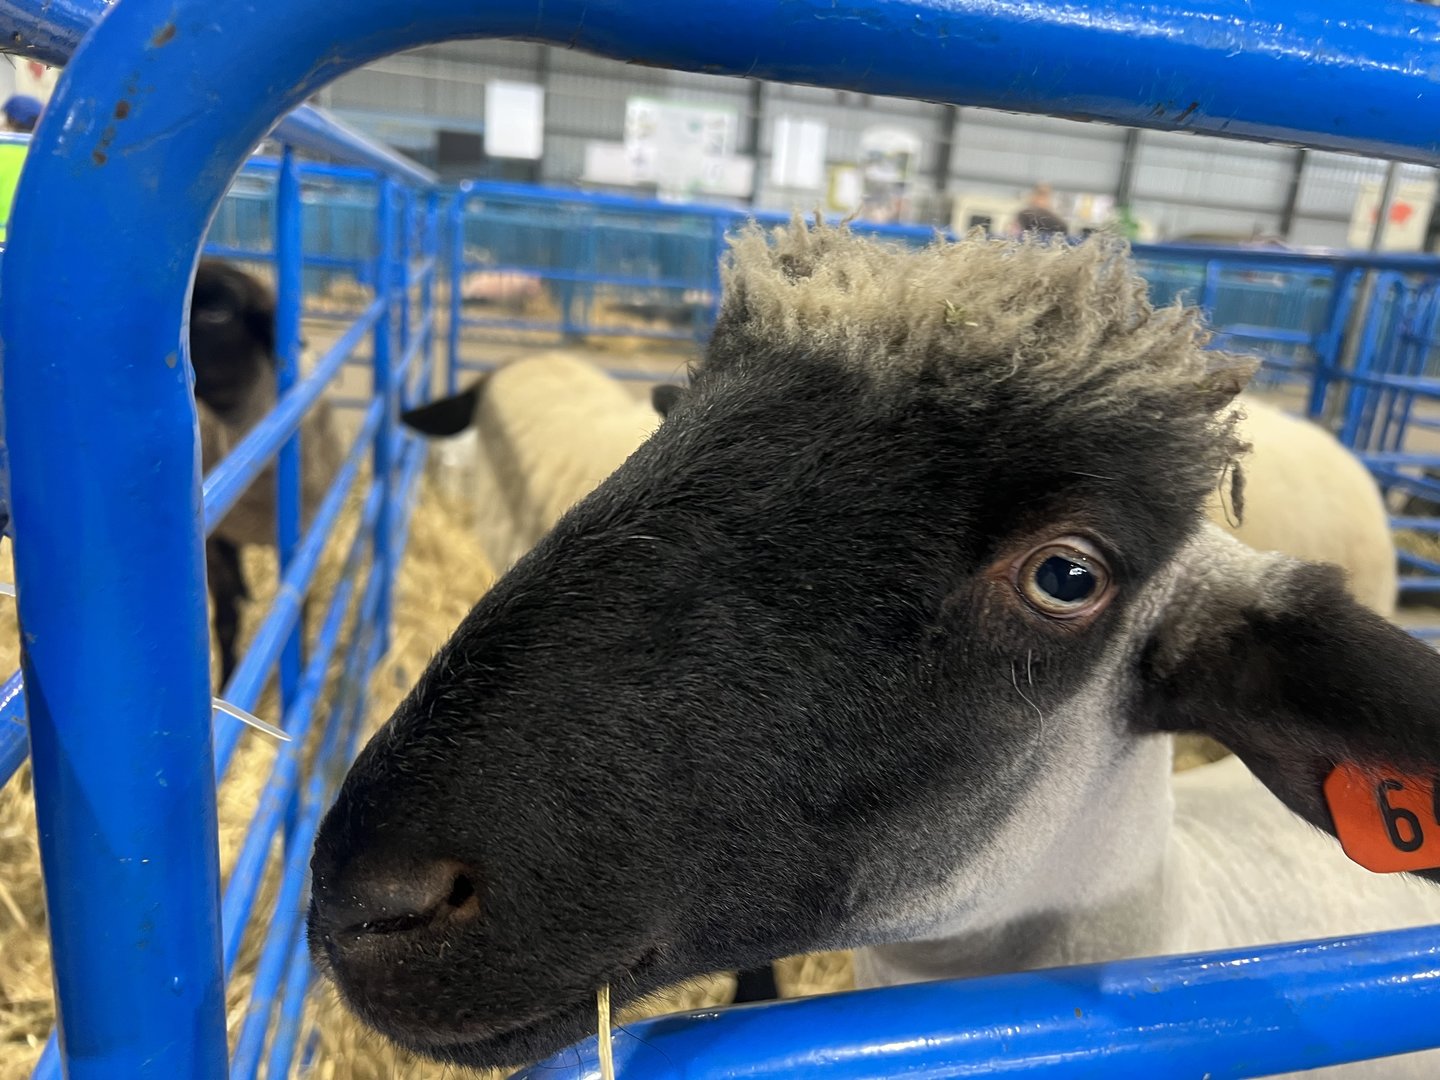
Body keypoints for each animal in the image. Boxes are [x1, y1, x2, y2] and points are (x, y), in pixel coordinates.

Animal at [190, 259, 343, 687]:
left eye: (217, 311)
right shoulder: (215, 541)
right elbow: (226, 618)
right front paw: (227, 678)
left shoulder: (299, 540)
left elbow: (297, 611)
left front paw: (302, 667)